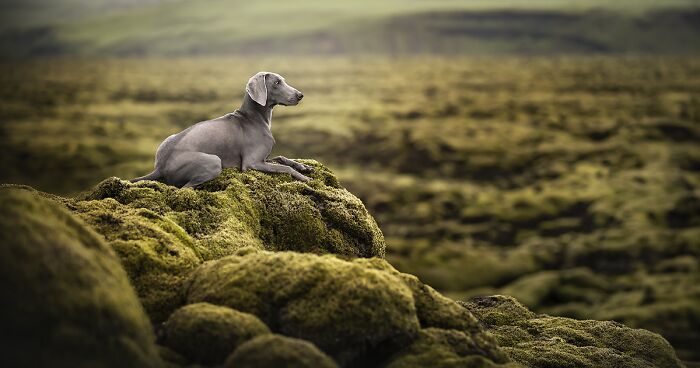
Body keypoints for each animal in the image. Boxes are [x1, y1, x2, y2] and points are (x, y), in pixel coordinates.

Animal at [131, 71, 312, 187]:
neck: (254, 118)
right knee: (184, 187)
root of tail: (160, 166)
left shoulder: (263, 158)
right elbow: (284, 167)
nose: (300, 95)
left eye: (283, 80)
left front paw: (304, 166)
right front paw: (303, 178)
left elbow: (281, 158)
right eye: (276, 83)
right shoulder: (252, 162)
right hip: (213, 161)